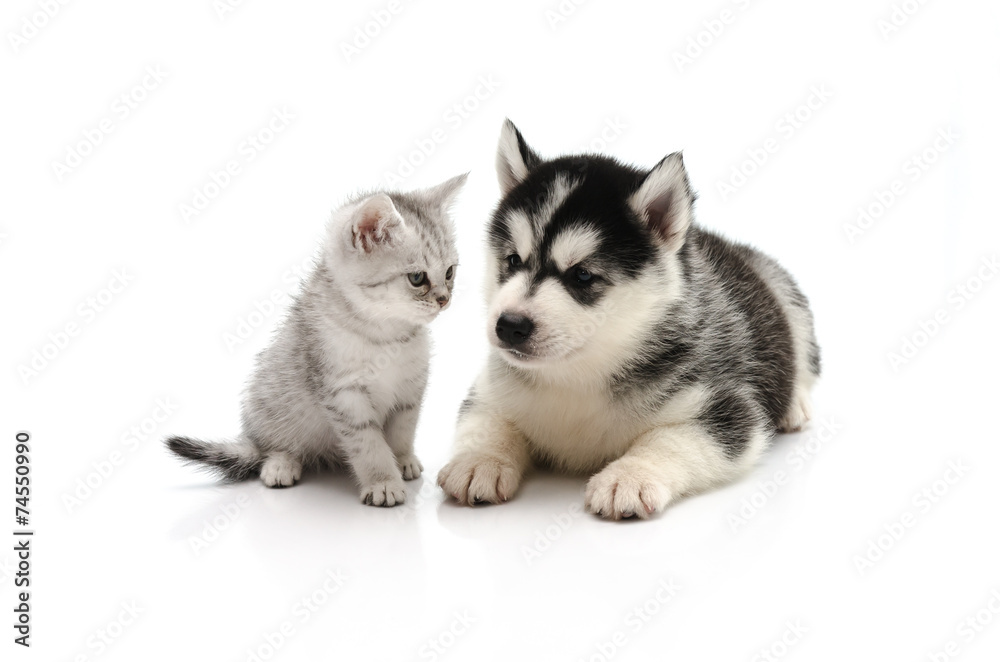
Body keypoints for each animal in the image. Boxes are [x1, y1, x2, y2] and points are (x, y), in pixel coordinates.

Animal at [168, 174, 468, 506]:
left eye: (450, 272)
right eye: (417, 278)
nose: (444, 299)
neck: (386, 335)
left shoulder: (410, 387)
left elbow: (402, 430)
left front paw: (403, 460)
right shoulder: (343, 393)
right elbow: (369, 444)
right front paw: (383, 482)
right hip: (269, 400)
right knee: (269, 446)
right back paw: (280, 464)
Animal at [438, 122, 820, 520]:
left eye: (582, 276)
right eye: (513, 260)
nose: (509, 325)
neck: (578, 375)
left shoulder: (723, 409)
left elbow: (670, 440)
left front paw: (630, 476)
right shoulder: (491, 390)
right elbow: (487, 421)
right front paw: (479, 459)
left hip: (787, 297)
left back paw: (795, 404)